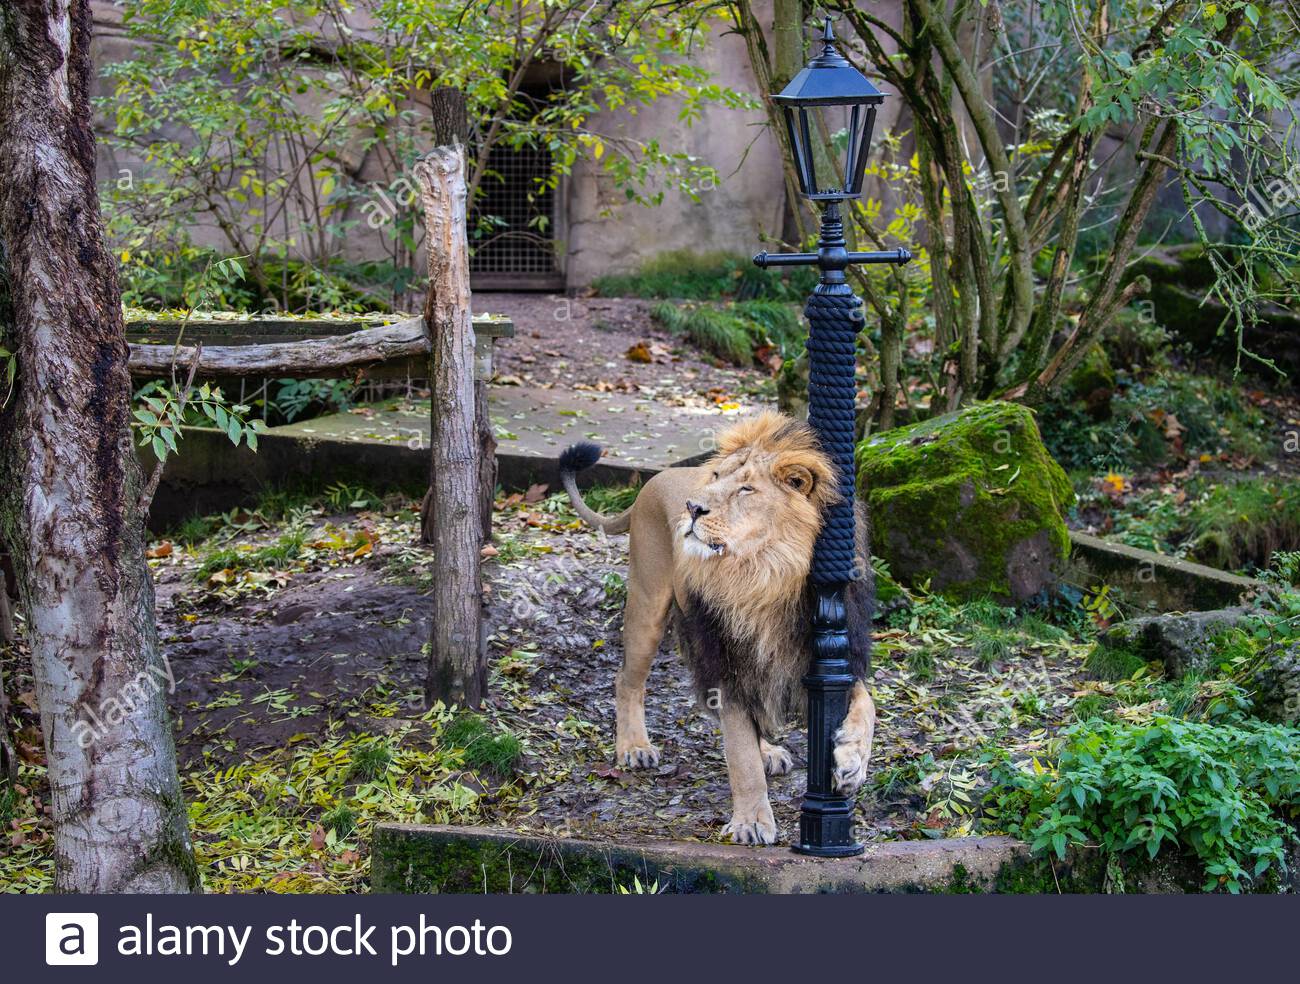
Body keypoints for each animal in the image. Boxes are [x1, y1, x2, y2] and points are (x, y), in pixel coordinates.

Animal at [559, 410, 873, 842]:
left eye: (745, 489)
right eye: (717, 476)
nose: (692, 507)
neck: (763, 575)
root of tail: (659, 477)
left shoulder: (827, 658)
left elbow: (867, 706)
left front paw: (851, 763)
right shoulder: (727, 662)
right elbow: (741, 758)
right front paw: (751, 823)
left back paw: (770, 751)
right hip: (648, 603)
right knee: (627, 680)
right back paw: (634, 747)